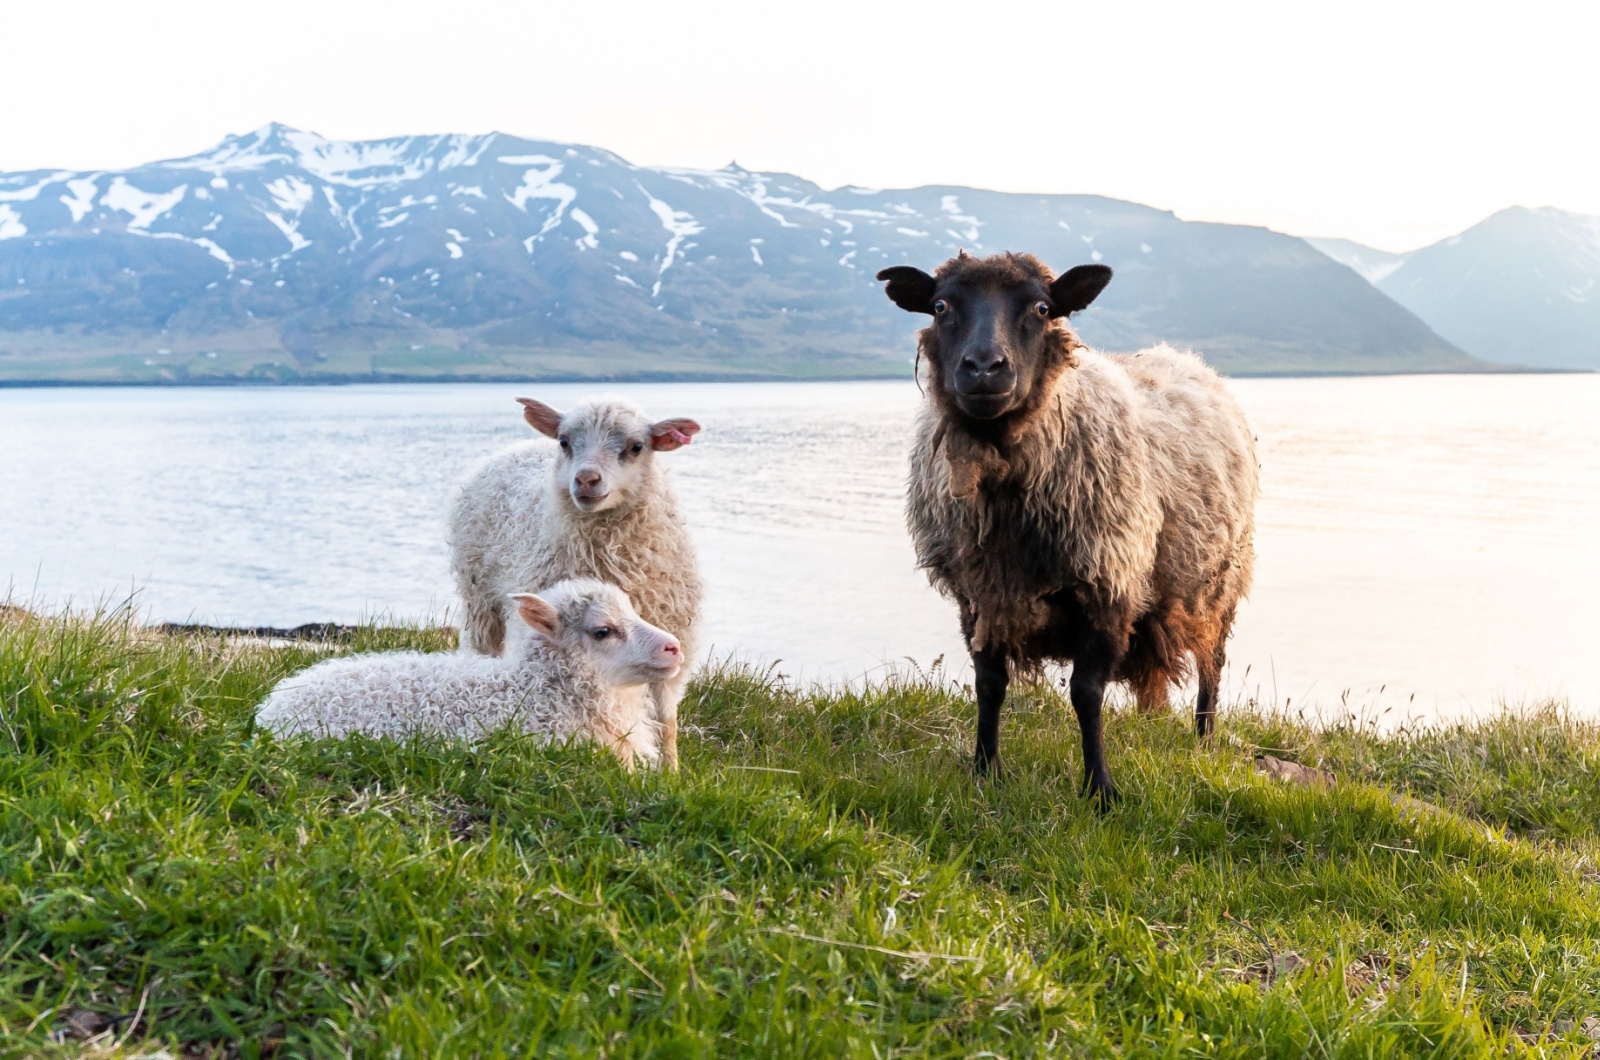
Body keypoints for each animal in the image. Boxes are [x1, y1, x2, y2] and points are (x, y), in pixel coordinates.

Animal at [451, 398, 700, 771]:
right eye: (565, 442)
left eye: (636, 447)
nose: (586, 479)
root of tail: (520, 446)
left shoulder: (672, 634)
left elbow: (665, 720)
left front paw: (670, 771)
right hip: (479, 600)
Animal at [883, 252, 1254, 807]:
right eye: (940, 305)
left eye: (1042, 308)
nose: (985, 368)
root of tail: (1184, 359)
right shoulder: (980, 594)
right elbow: (988, 686)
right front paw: (985, 771)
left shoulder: (1107, 585)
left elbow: (1086, 694)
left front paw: (1099, 789)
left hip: (1218, 584)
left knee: (1213, 665)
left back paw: (1205, 740)